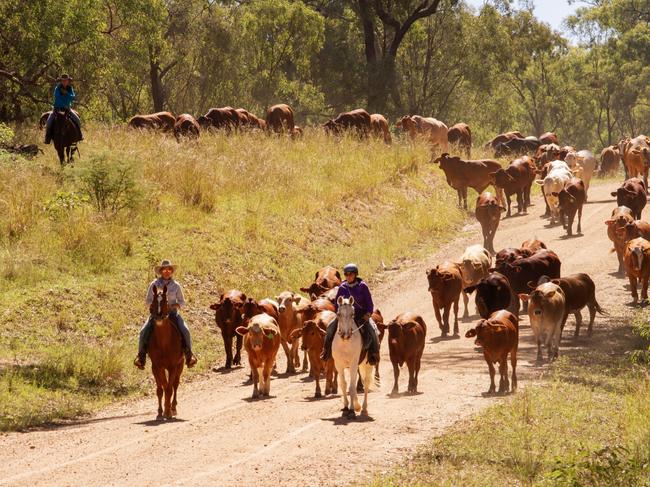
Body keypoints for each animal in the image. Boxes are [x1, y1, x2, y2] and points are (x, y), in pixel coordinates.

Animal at [147, 286, 185, 420]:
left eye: (165, 302)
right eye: (153, 302)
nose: (158, 317)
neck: (164, 343)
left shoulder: (173, 366)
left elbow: (169, 388)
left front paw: (168, 412)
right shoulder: (156, 366)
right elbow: (161, 388)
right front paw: (160, 412)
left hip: (181, 364)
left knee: (175, 385)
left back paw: (173, 408)